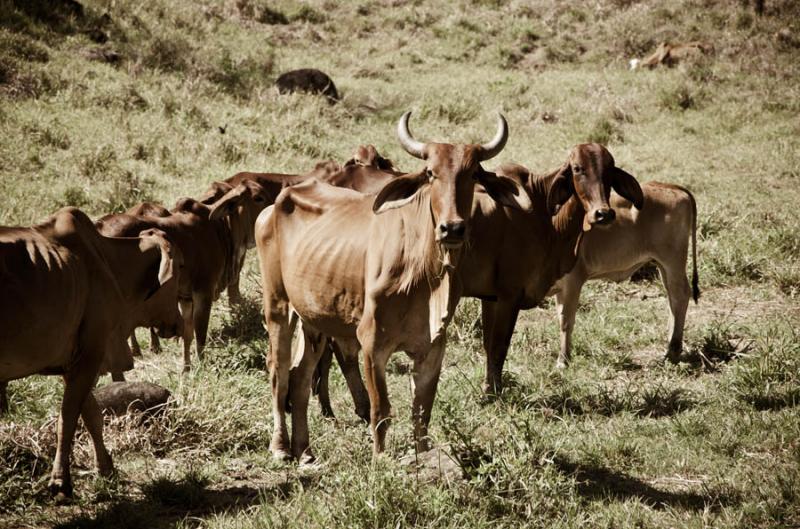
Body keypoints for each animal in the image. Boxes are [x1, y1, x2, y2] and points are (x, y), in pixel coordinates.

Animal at [0, 207, 183, 500]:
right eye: (180, 268)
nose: (177, 324)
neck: (107, 260)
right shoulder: (90, 354)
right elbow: (68, 420)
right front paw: (61, 483)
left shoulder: (75, 361)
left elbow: (92, 416)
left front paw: (106, 468)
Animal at [256, 111, 532, 462]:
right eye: (430, 173)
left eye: (473, 173)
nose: (452, 228)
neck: (425, 275)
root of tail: (273, 206)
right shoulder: (372, 343)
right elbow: (381, 411)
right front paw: (379, 460)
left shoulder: (432, 347)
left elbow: (421, 412)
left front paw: (422, 458)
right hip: (278, 306)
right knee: (278, 372)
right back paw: (280, 447)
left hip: (313, 318)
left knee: (300, 377)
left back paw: (304, 452)